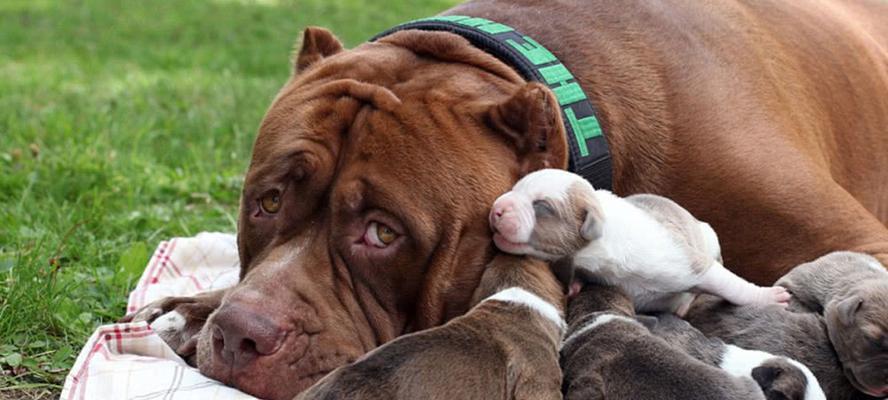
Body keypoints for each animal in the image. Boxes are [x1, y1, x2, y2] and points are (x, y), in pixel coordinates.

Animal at [492, 169, 792, 312]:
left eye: (542, 206)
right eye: (515, 188)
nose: (496, 209)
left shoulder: (686, 262)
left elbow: (728, 284)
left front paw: (767, 297)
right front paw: (575, 284)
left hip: (708, 236)